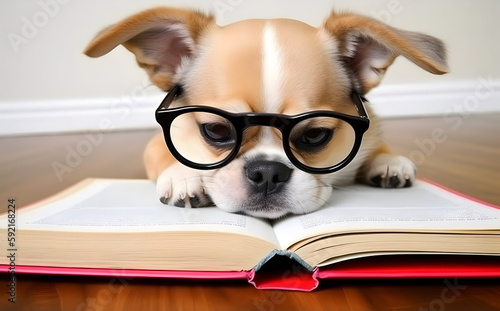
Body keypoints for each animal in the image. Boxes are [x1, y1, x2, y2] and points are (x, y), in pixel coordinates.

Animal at [84, 6, 448, 218]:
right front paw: (182, 175)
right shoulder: (156, 143)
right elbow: (164, 153)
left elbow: (376, 145)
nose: (268, 172)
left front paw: (388, 161)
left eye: (315, 135)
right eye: (216, 131)